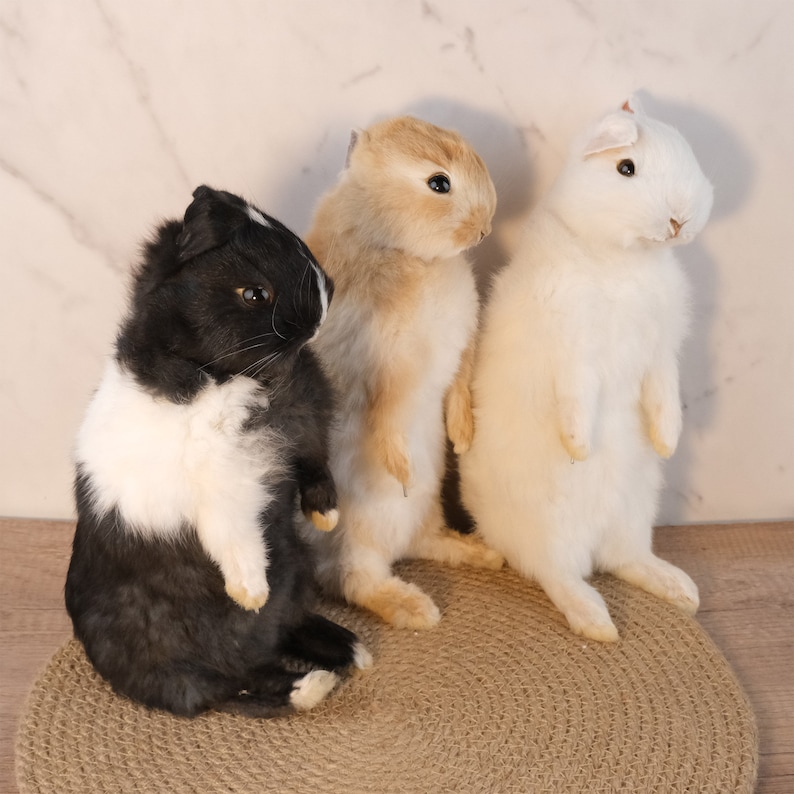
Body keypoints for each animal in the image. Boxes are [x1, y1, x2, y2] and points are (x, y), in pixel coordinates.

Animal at [65, 185, 371, 718]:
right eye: (254, 294)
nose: (322, 305)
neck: (232, 375)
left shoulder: (307, 429)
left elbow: (316, 467)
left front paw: (326, 516)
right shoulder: (221, 483)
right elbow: (233, 536)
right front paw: (249, 591)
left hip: (299, 572)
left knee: (279, 639)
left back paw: (348, 651)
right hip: (181, 668)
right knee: (240, 682)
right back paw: (310, 683)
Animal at [301, 116, 504, 630]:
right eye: (439, 184)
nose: (484, 228)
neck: (407, 252)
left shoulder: (462, 350)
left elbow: (458, 390)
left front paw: (464, 437)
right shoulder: (383, 370)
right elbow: (385, 415)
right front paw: (400, 470)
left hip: (429, 512)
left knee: (426, 542)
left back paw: (481, 553)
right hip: (354, 539)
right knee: (357, 582)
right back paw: (418, 610)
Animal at [459, 101, 713, 642]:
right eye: (626, 168)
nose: (680, 220)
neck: (623, 259)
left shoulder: (660, 353)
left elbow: (664, 394)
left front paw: (667, 441)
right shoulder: (573, 355)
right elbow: (575, 401)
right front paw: (579, 448)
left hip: (637, 510)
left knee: (628, 560)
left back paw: (679, 590)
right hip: (549, 528)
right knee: (557, 574)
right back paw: (596, 622)